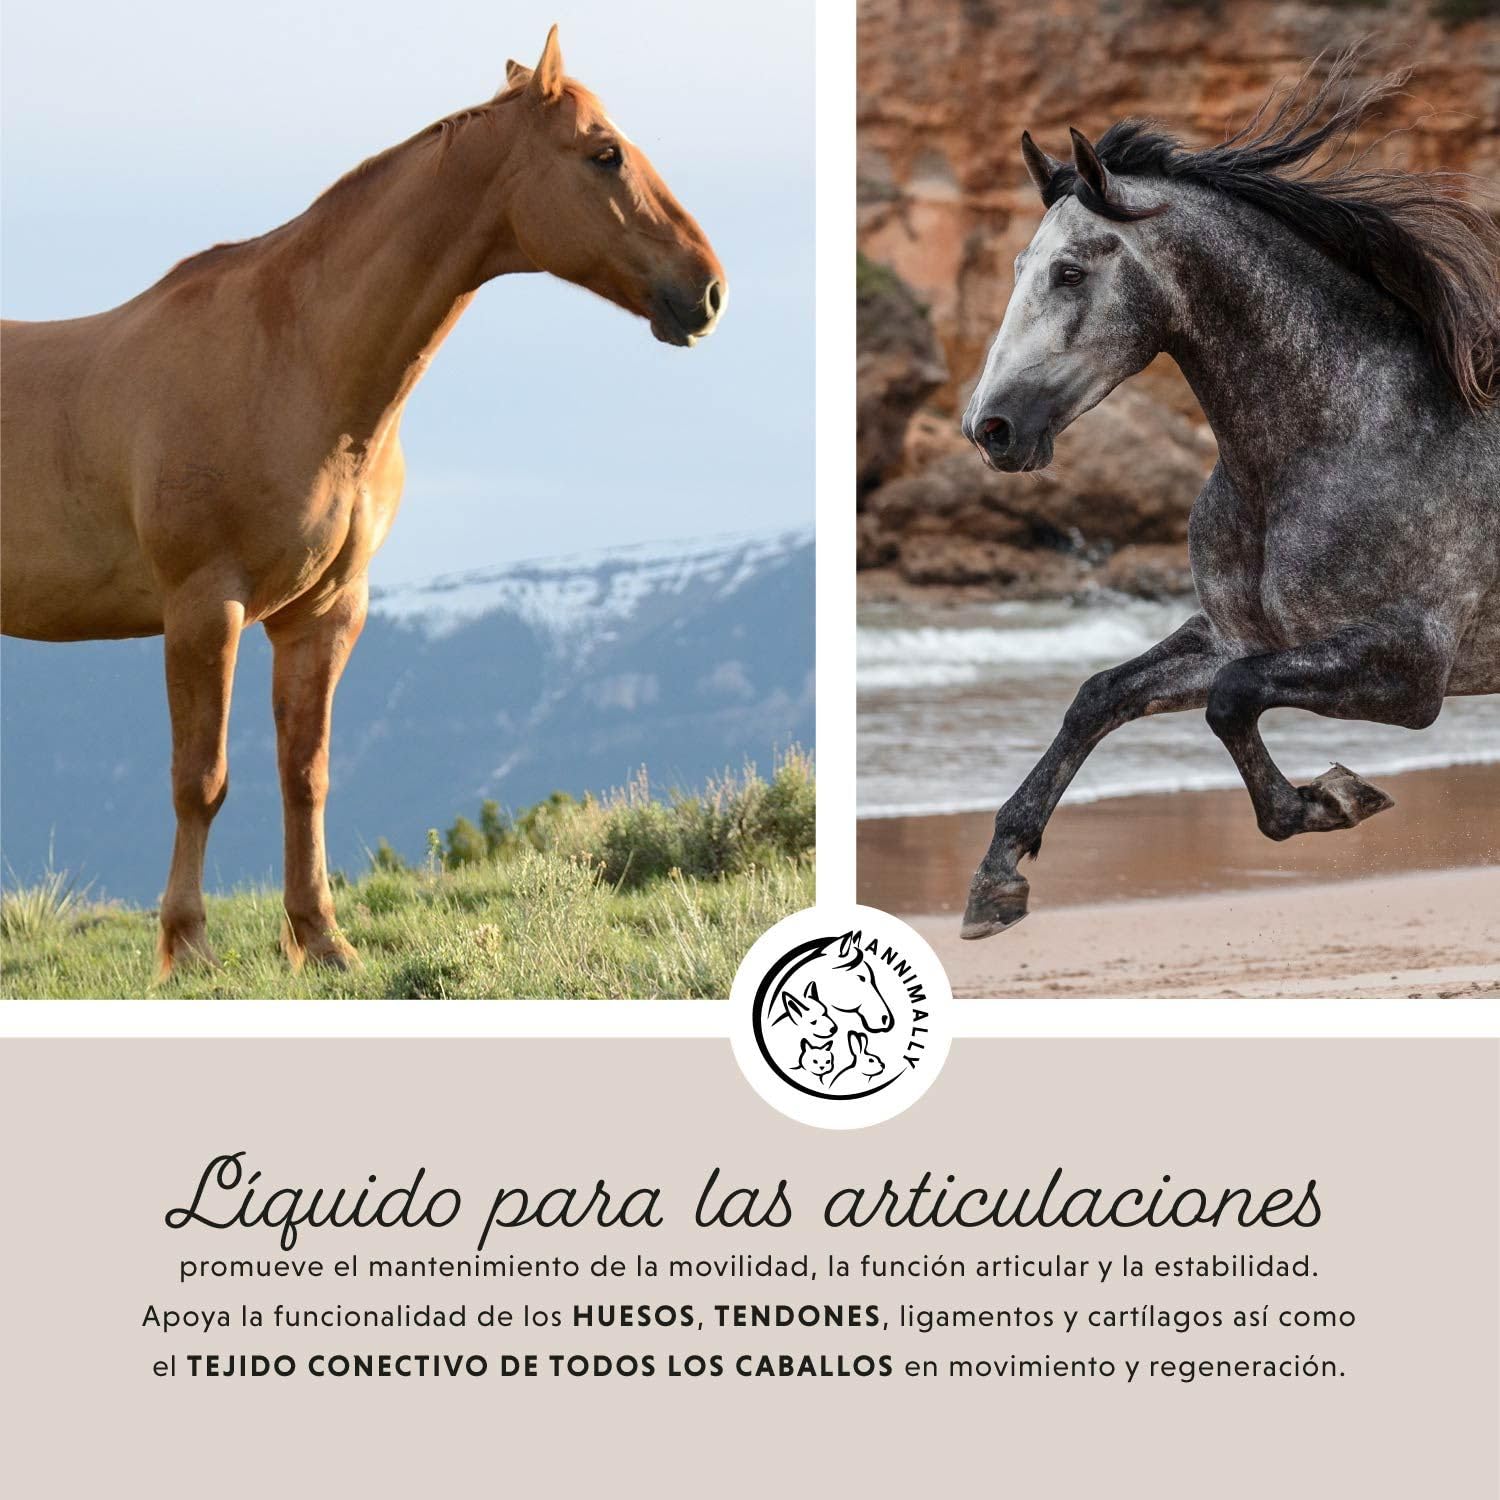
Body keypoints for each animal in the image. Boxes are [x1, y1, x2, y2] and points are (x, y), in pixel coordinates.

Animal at [0, 27, 725, 977]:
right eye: (604, 153)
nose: (707, 290)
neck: (292, 361)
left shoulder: (324, 613)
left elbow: (304, 776)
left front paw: (321, 940)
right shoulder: (204, 608)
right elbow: (201, 779)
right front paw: (187, 948)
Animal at [956, 54, 1500, 939]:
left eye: (1069, 273)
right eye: (1015, 271)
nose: (989, 428)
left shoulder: (1410, 668)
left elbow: (1230, 700)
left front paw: (1334, 799)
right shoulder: (1240, 635)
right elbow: (1100, 695)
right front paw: (997, 878)